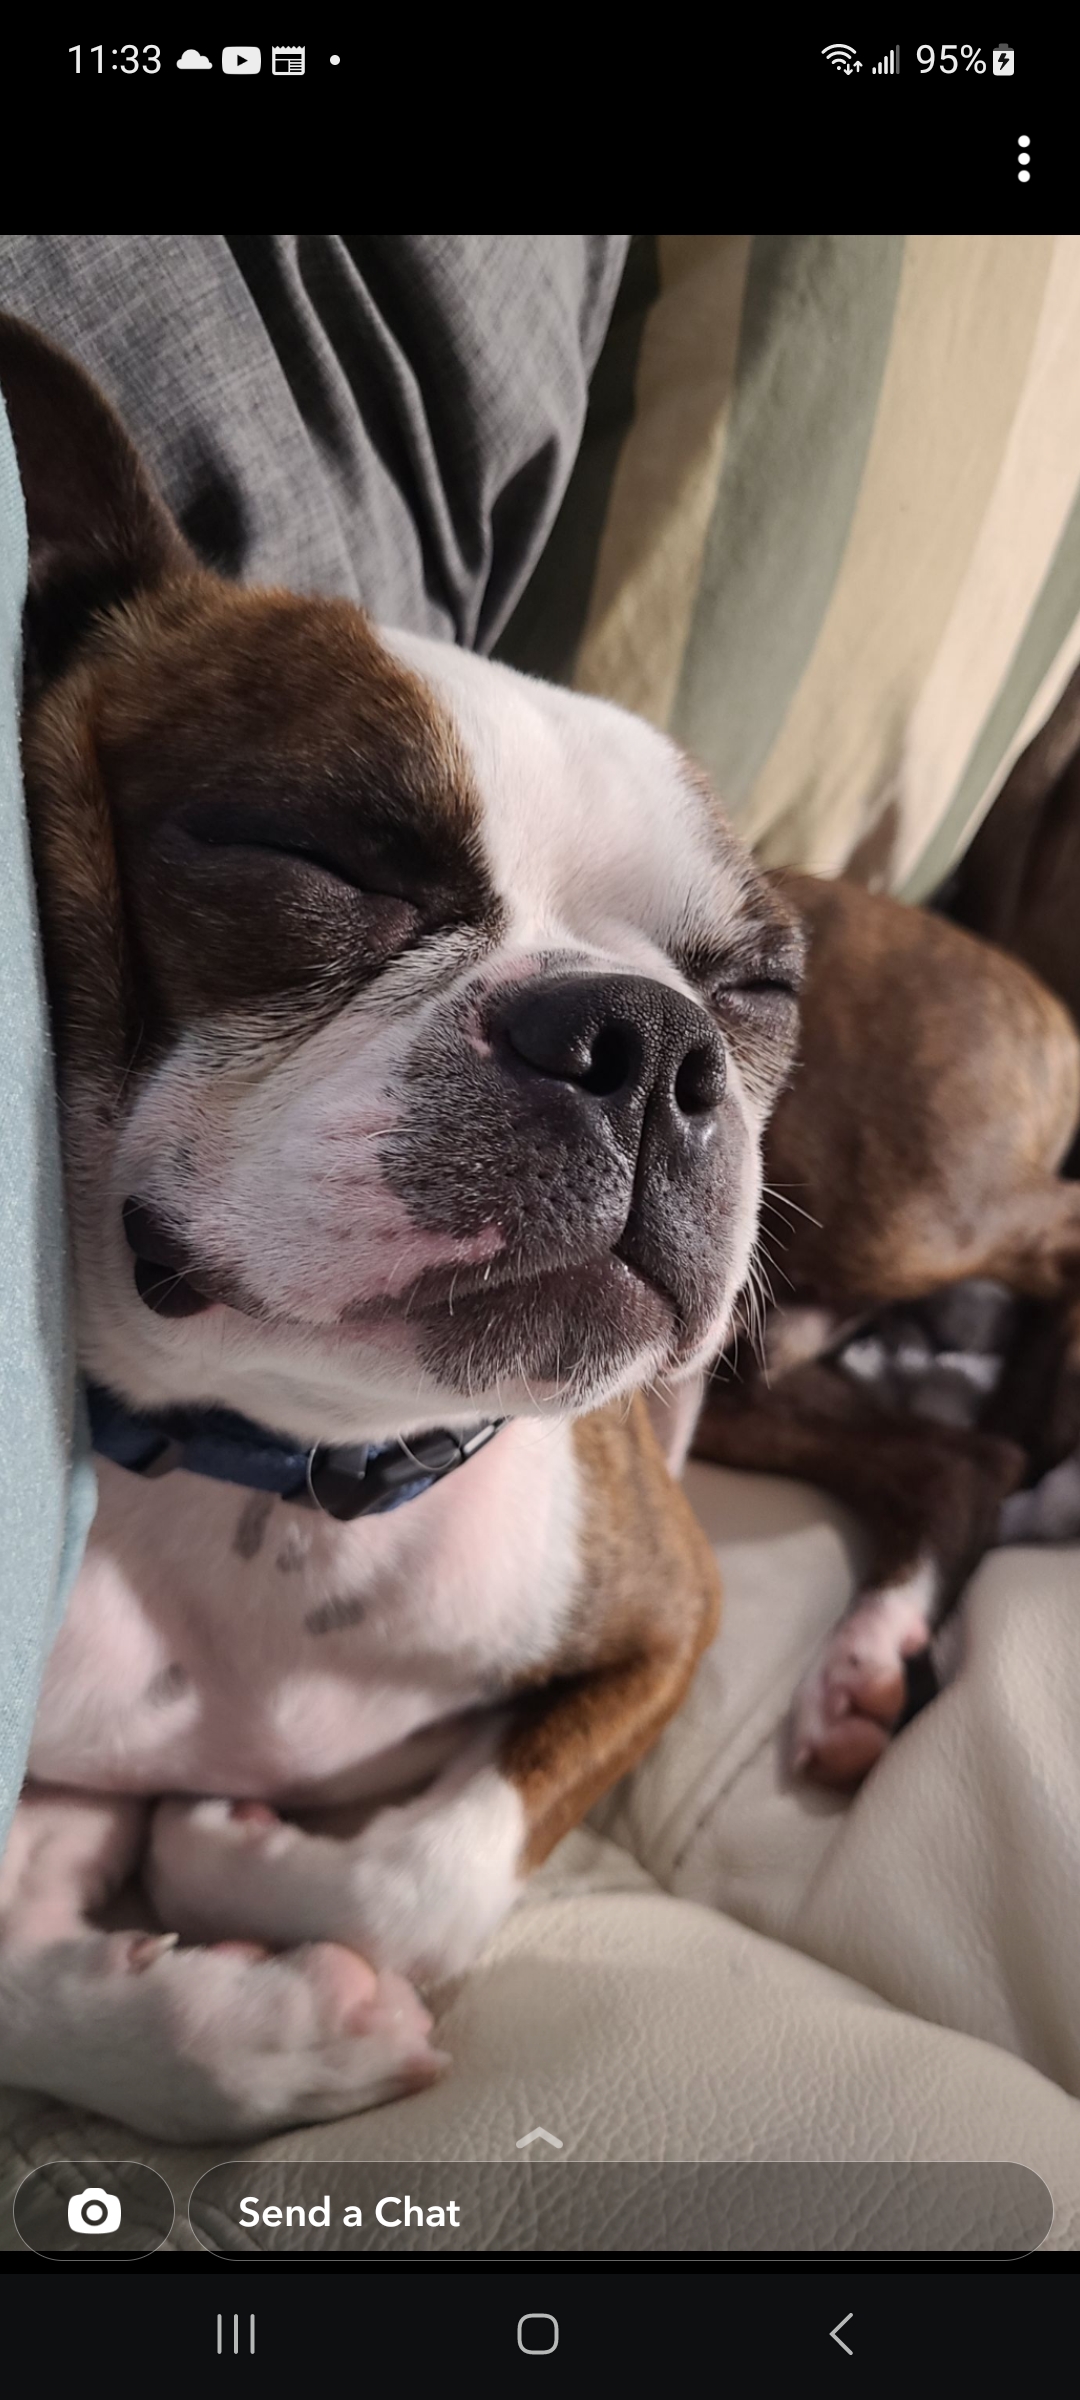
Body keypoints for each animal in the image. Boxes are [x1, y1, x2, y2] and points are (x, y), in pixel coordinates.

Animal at [0, 316, 804, 2140]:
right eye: (312, 852)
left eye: (761, 988)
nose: (648, 1042)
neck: (289, 1469)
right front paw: (253, 2026)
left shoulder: (674, 1616)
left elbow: (425, 1873)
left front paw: (229, 1857)